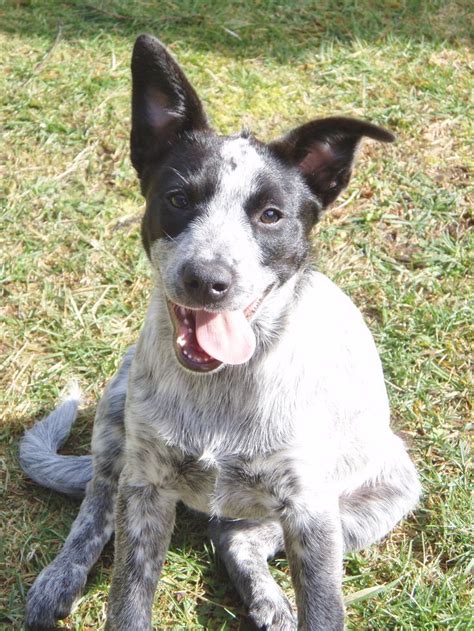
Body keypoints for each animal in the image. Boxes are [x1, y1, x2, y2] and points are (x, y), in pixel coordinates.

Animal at [20, 34, 420, 631]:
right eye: (178, 199)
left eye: (271, 215)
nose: (206, 280)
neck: (223, 388)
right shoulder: (146, 488)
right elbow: (127, 597)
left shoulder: (311, 512)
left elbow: (324, 606)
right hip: (116, 415)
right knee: (95, 504)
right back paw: (60, 578)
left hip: (385, 492)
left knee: (236, 540)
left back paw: (270, 602)